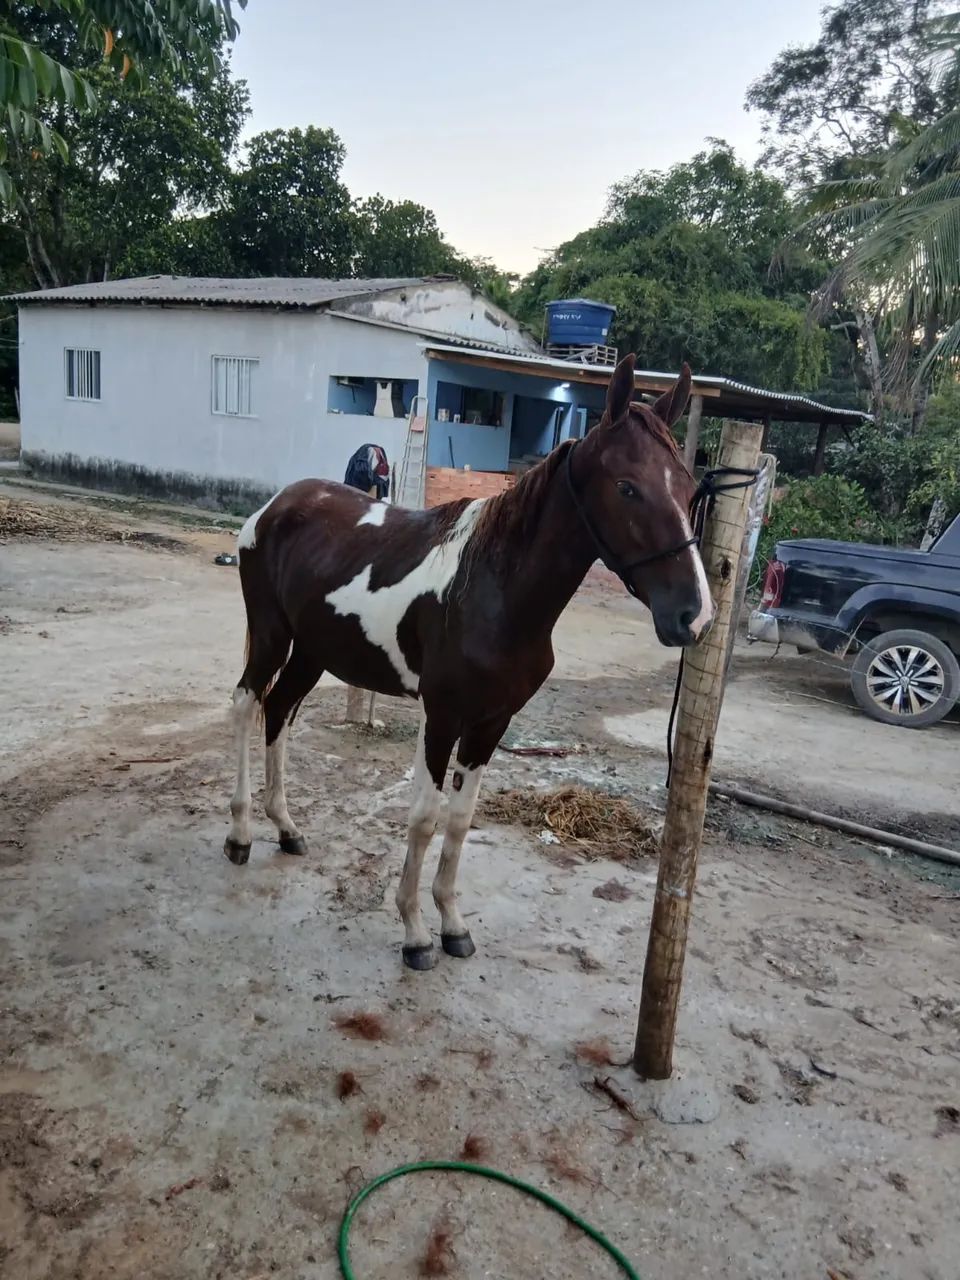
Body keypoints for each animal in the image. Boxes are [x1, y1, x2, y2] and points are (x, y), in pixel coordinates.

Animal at [224, 354, 713, 971]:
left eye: (689, 487)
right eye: (627, 487)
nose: (694, 616)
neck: (493, 588)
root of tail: (276, 507)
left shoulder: (491, 723)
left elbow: (459, 819)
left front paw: (453, 925)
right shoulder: (442, 718)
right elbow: (424, 817)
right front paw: (414, 932)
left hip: (312, 653)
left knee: (279, 711)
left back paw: (286, 829)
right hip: (271, 636)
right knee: (246, 705)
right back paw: (240, 834)